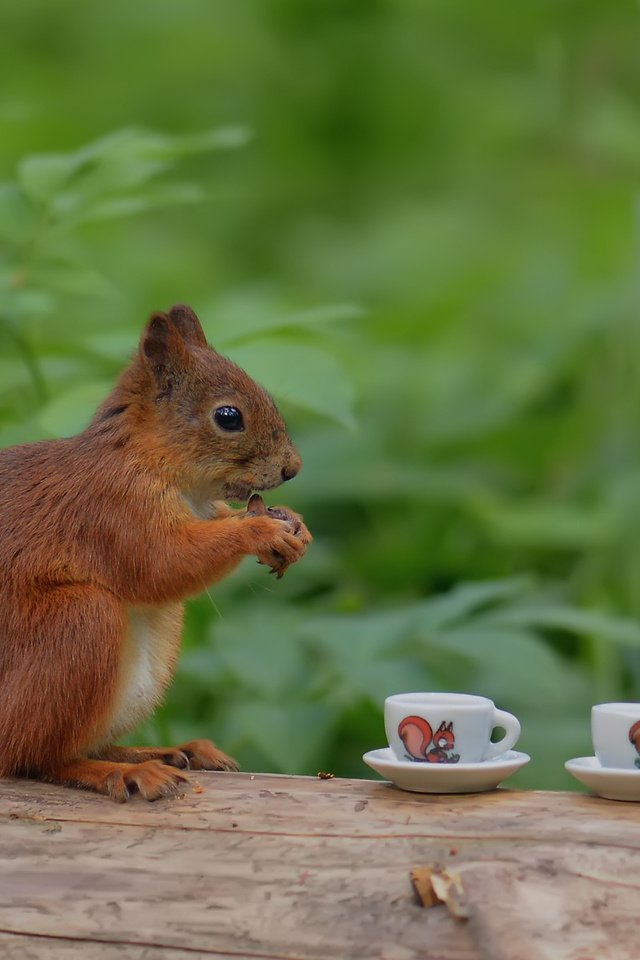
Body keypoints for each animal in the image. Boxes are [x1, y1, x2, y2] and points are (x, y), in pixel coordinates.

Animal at [0, 308, 312, 804]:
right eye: (228, 417)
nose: (292, 468)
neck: (151, 456)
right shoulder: (112, 508)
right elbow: (160, 564)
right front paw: (259, 529)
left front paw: (294, 523)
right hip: (79, 620)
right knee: (34, 758)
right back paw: (123, 771)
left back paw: (165, 751)